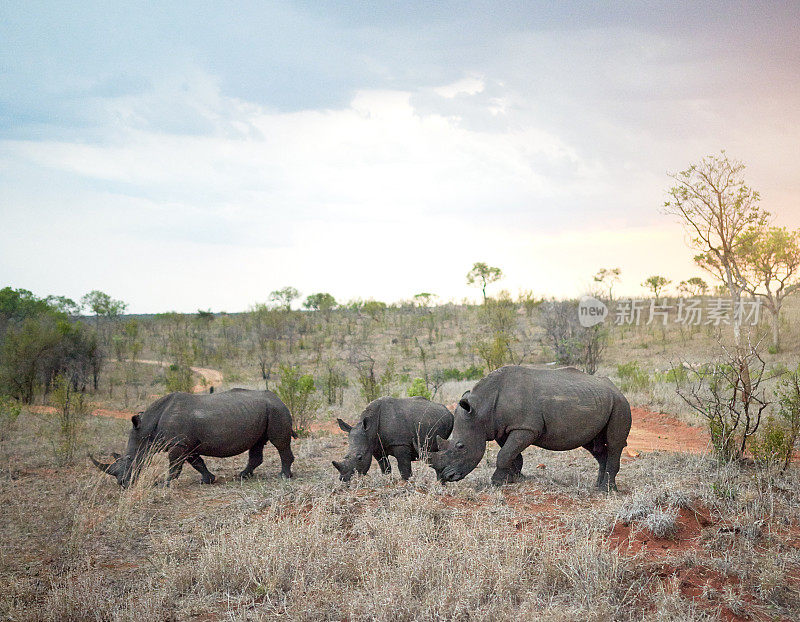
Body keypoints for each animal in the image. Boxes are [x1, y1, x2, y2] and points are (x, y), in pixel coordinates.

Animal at [90, 390, 296, 488]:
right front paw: (208, 480)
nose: (123, 484)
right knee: (257, 444)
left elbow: (174, 466)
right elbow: (196, 462)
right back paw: (242, 476)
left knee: (279, 443)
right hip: (264, 410)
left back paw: (283, 476)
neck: (146, 428)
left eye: (130, 460)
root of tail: (279, 398)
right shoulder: (185, 444)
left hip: (276, 410)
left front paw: (162, 484)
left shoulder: (178, 443)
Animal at [428, 366, 628, 492]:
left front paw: (496, 482)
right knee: (595, 447)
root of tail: (616, 388)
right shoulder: (503, 428)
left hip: (620, 404)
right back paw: (598, 487)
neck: (481, 408)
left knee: (614, 444)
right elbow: (512, 454)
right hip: (597, 400)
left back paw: (606, 491)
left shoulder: (527, 428)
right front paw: (515, 479)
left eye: (460, 446)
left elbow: (504, 454)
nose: (446, 477)